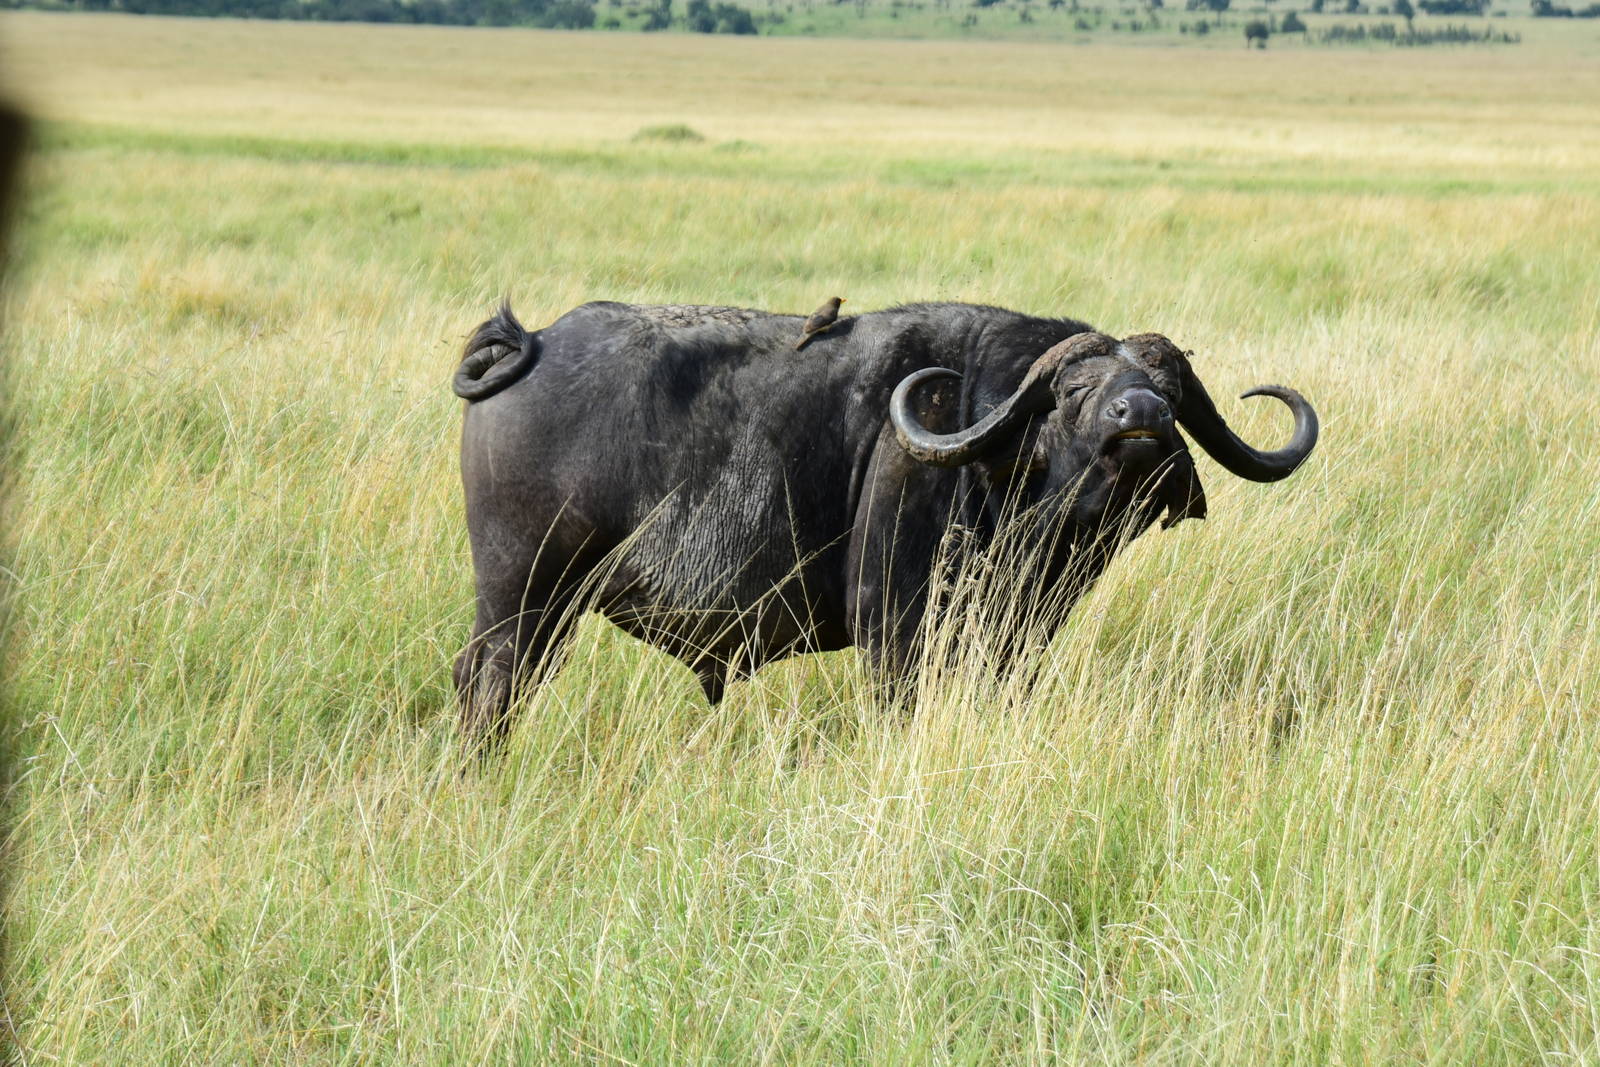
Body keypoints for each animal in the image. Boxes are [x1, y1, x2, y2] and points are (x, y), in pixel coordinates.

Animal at [451, 300, 1318, 741]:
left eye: (1169, 389)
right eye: (1075, 390)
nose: (1141, 416)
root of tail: (531, 342)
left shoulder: (1017, 639)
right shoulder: (894, 628)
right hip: (522, 596)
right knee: (488, 683)